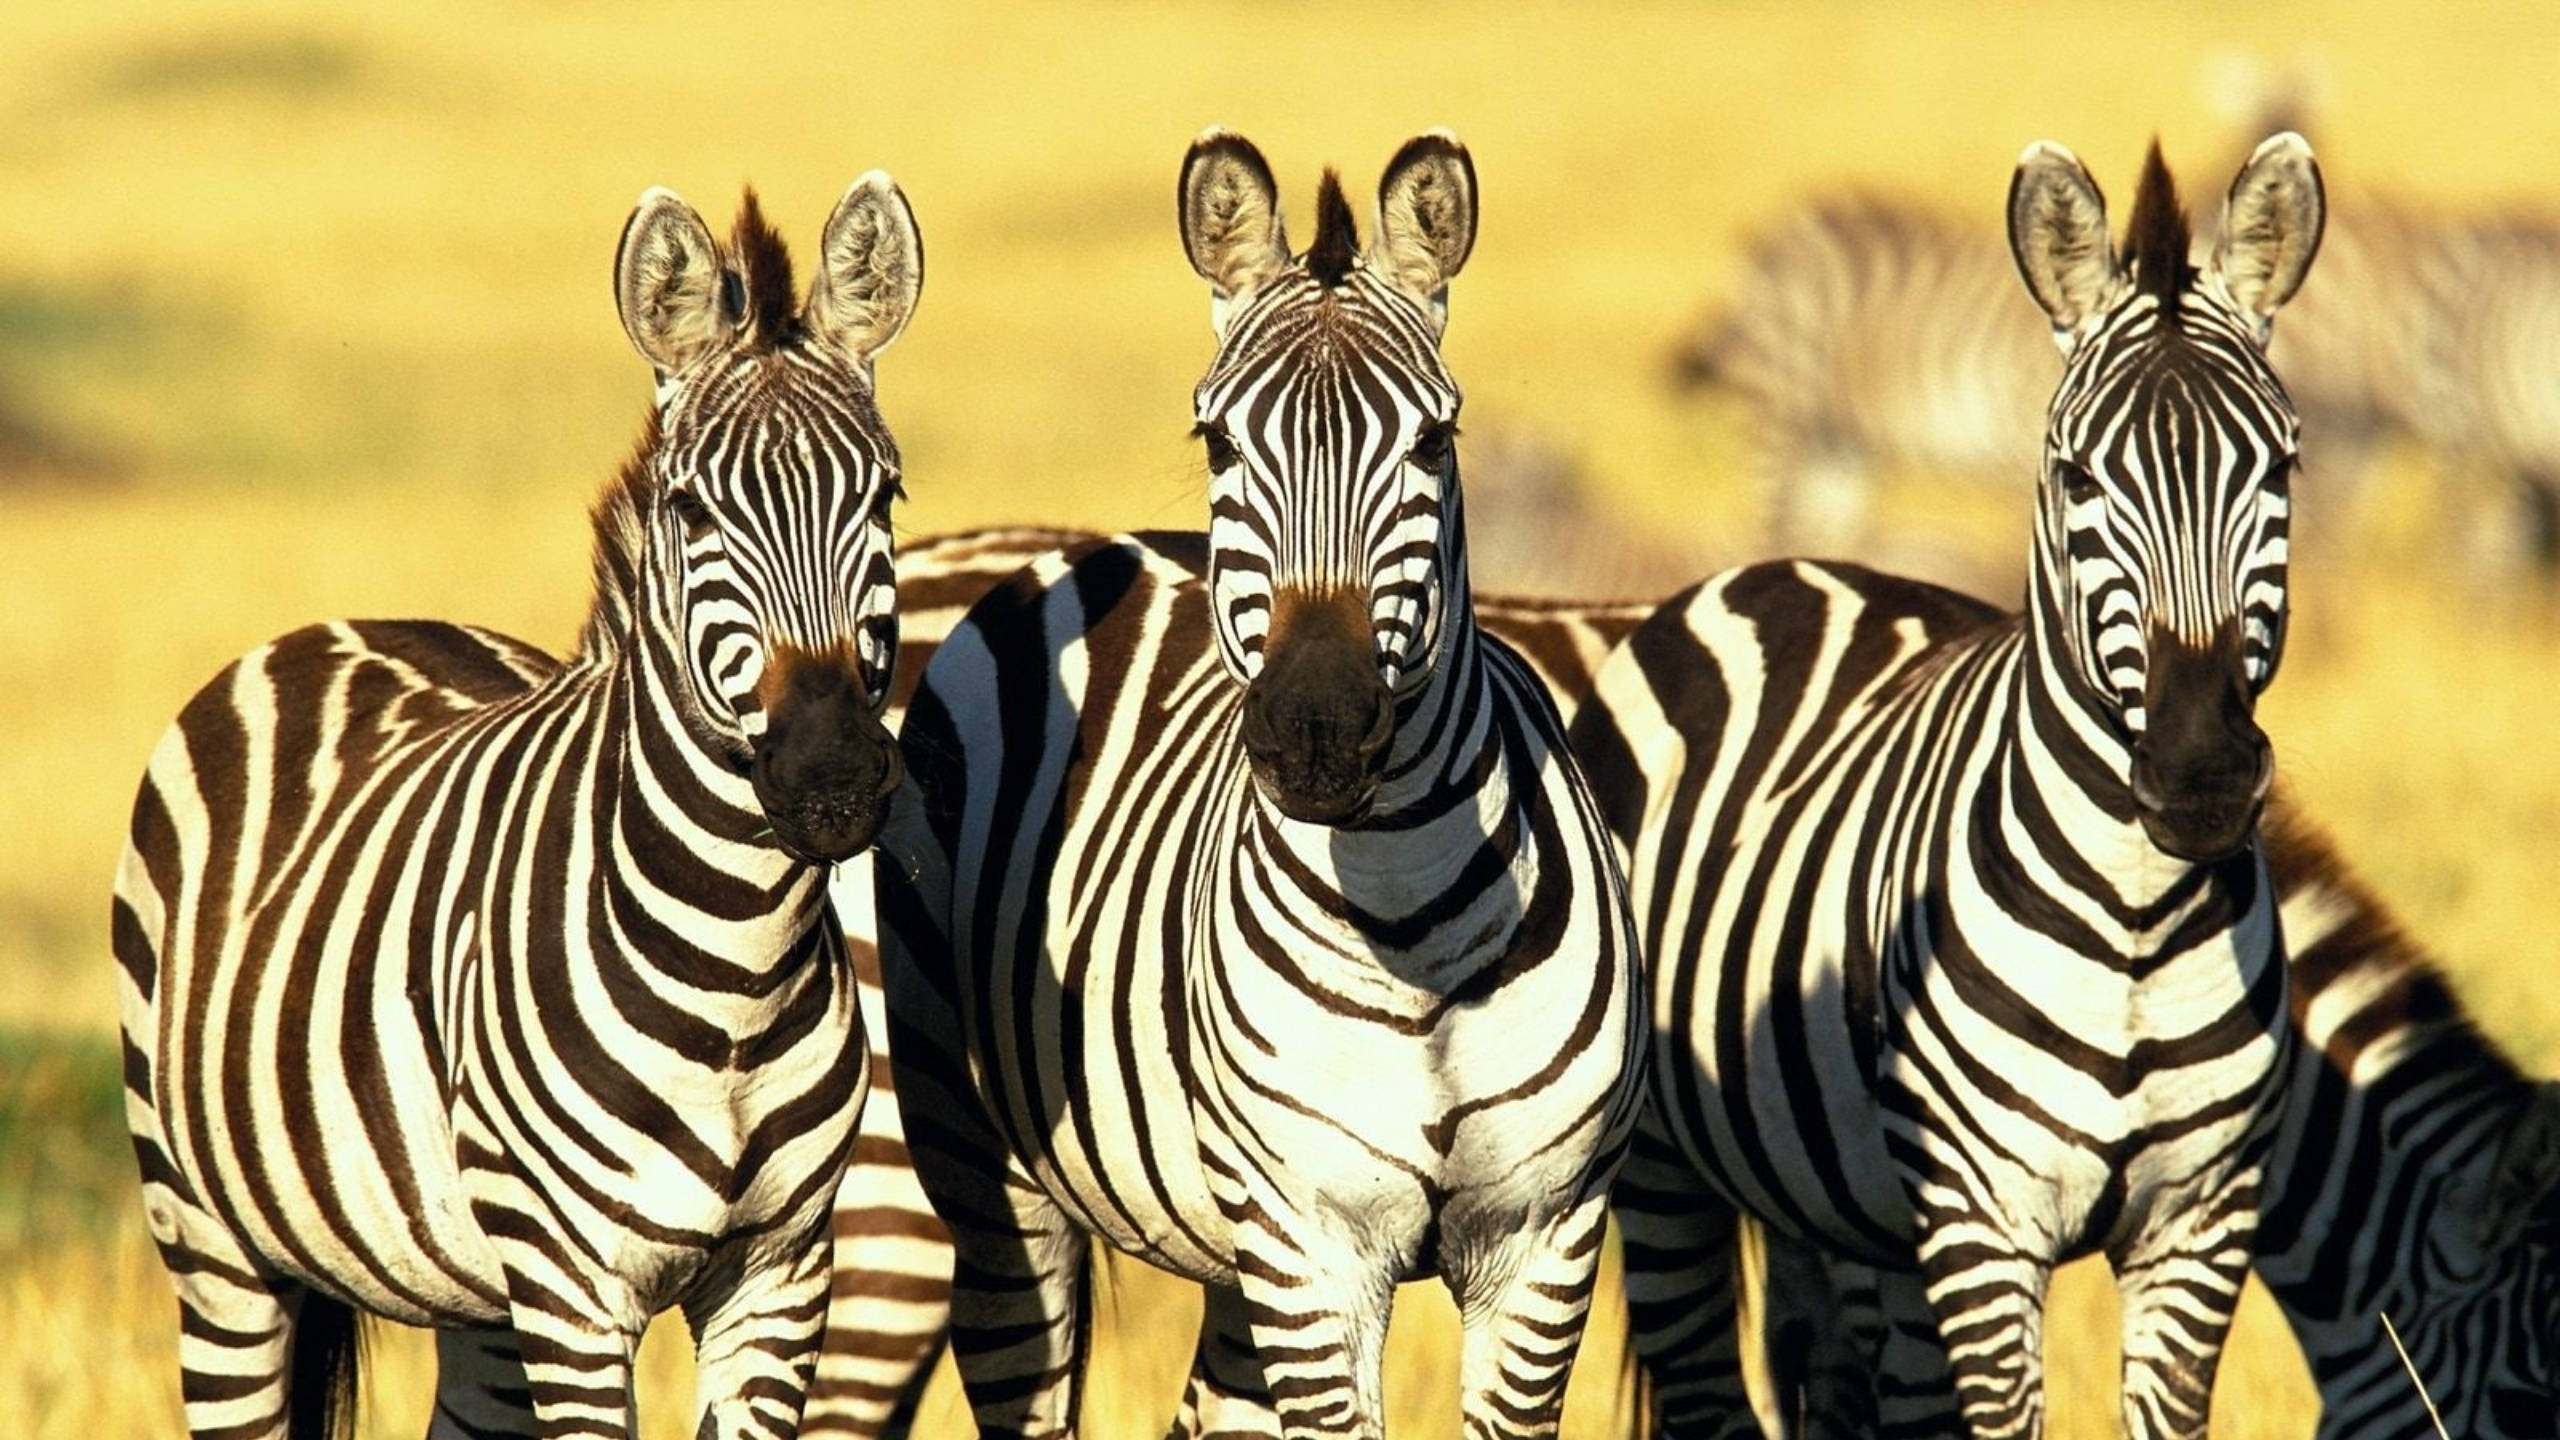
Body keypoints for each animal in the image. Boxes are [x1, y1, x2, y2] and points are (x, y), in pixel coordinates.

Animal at [111, 176, 923, 1440]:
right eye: (691, 512)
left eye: (885, 493)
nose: (831, 779)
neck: (738, 979)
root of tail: (344, 624)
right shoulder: (573, 1286)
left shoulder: (782, 1274)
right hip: (213, 1249)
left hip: (474, 1292)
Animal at [869, 129, 1645, 1440]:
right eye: (1218, 442)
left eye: (1433, 442)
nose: (1315, 731)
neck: (1408, 921)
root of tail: (1093, 549)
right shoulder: (1308, 1241)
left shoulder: (1545, 1237)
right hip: (979, 1173)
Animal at [1572, 135, 2323, 1440]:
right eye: (2075, 475)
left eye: (2277, 465)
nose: (2200, 777)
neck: (2136, 918)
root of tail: (1775, 568)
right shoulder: (1982, 1224)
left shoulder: (2199, 1224)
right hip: (1666, 1174)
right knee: (1712, 1393)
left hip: (1841, 1207)